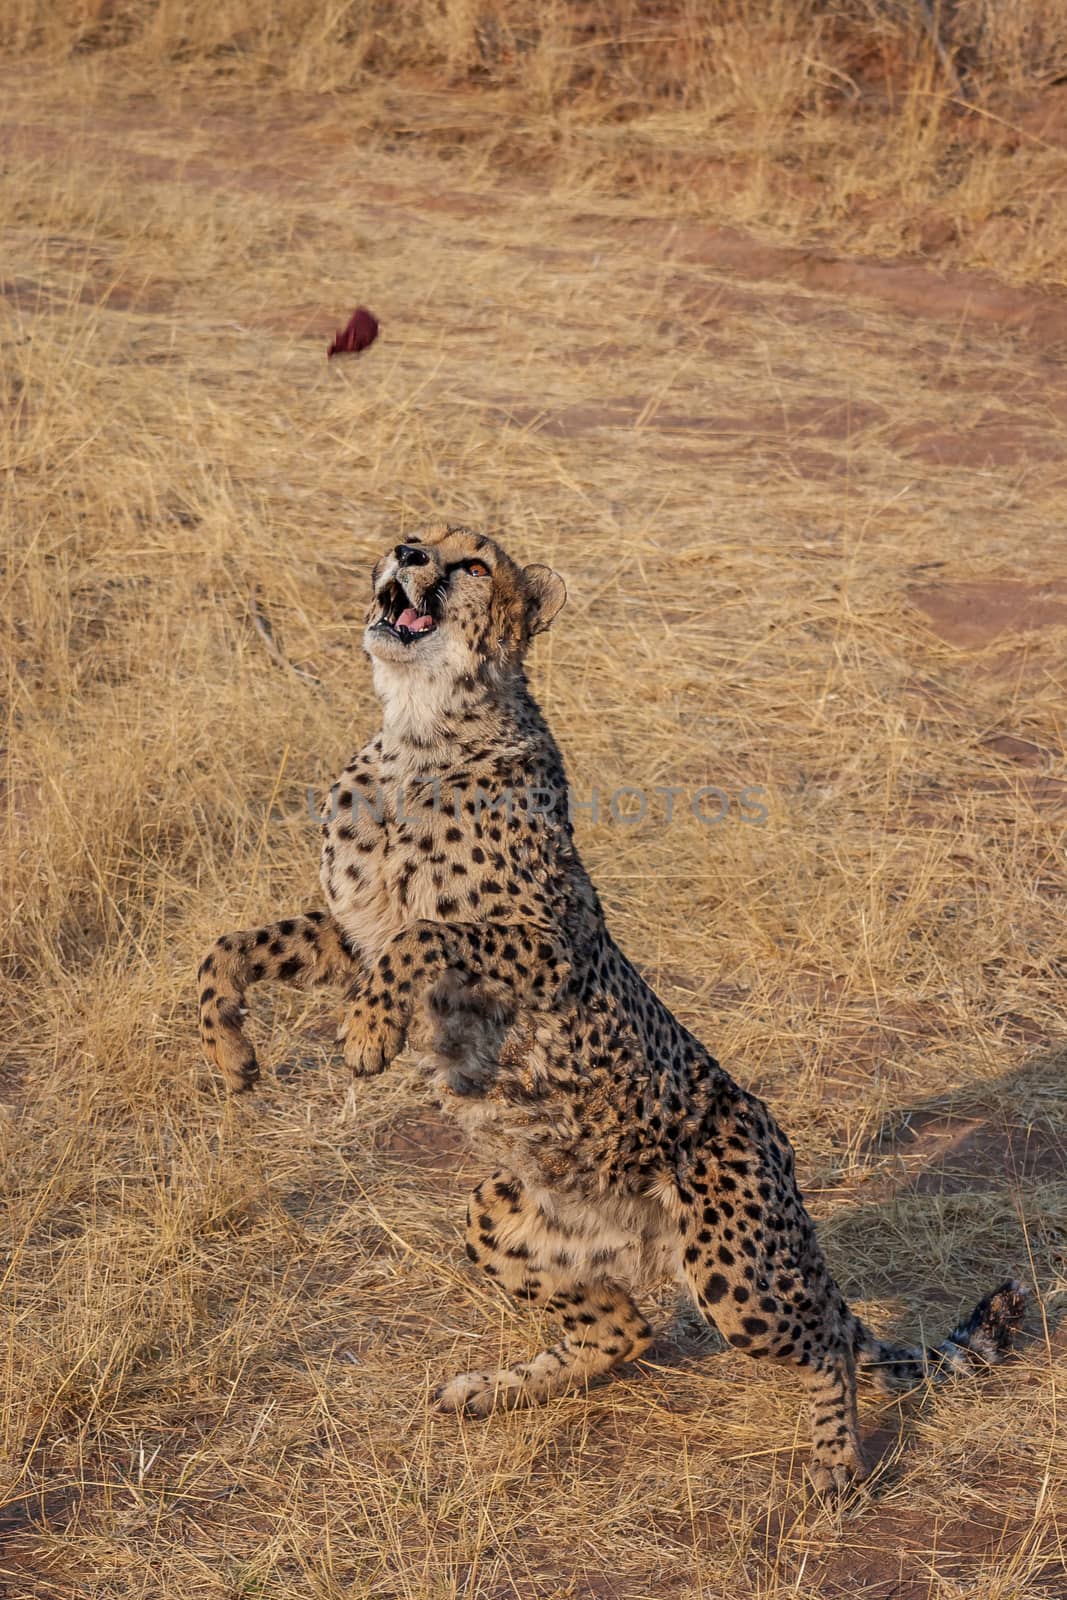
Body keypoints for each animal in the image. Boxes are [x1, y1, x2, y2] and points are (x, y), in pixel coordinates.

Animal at [198, 518, 1023, 1491]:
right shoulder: (352, 932)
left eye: (470, 562)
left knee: (822, 1335)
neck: (419, 727)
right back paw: (496, 1389)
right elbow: (239, 943)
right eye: (417, 536)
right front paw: (226, 1045)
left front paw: (366, 1033)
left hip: (735, 1268)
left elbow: (425, 936)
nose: (404, 553)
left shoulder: (546, 947)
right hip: (505, 1212)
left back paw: (831, 1461)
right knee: (626, 1327)